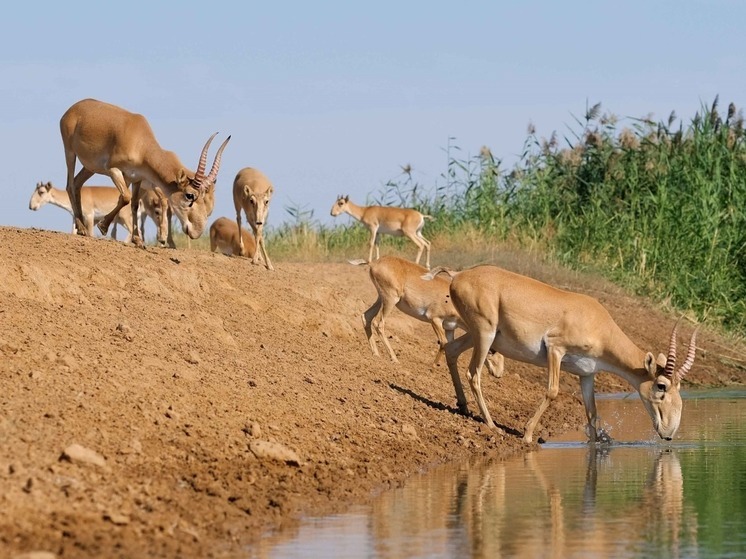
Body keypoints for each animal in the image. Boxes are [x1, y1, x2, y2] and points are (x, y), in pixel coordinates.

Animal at [58, 99, 230, 248]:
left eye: (203, 196)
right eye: (189, 195)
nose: (196, 232)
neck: (140, 143)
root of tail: (72, 109)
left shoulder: (136, 179)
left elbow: (132, 204)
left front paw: (138, 240)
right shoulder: (114, 170)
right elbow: (125, 198)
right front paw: (103, 226)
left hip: (90, 167)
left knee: (77, 183)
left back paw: (82, 227)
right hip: (70, 152)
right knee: (70, 184)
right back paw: (82, 228)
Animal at [424, 264, 696, 444]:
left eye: (678, 388)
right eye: (661, 386)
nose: (669, 433)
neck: (596, 322)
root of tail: (459, 274)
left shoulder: (586, 375)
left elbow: (592, 412)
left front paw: (597, 444)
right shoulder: (555, 348)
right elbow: (552, 391)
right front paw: (527, 434)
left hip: (475, 334)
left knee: (451, 350)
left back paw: (463, 407)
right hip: (484, 334)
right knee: (474, 373)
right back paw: (491, 425)